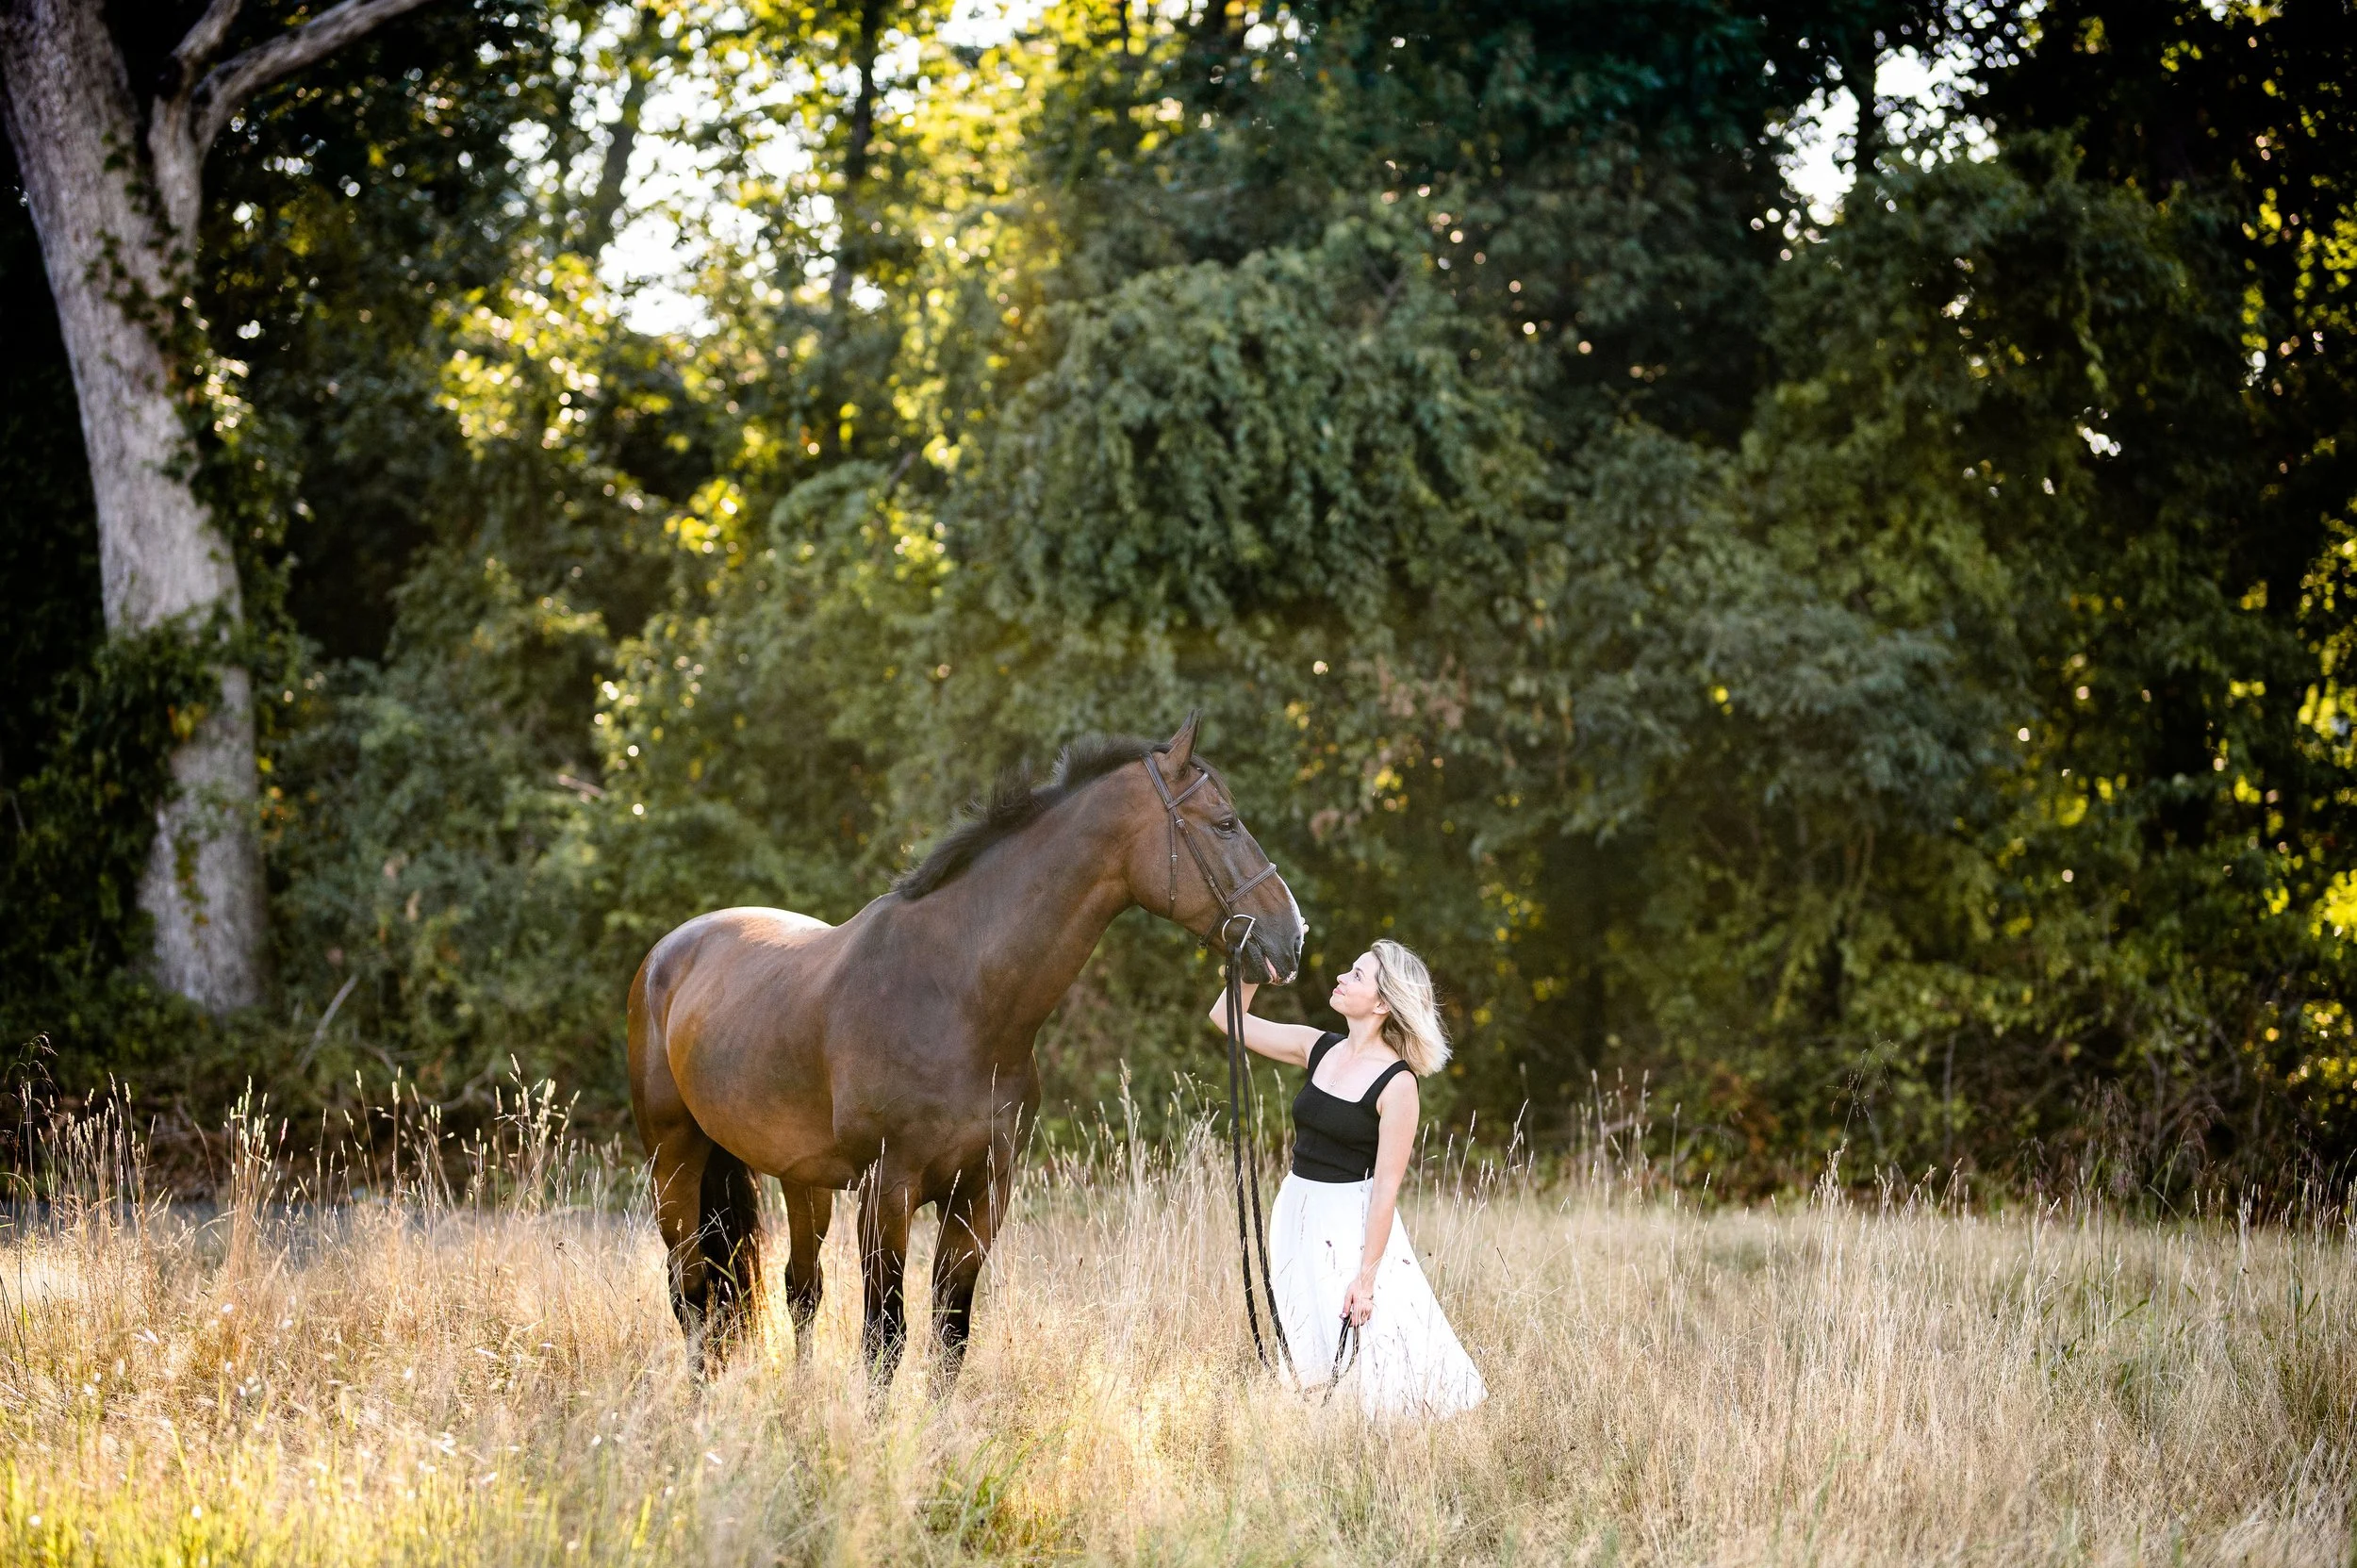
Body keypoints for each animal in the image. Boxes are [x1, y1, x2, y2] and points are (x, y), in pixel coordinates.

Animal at [626, 713, 1307, 1384]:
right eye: (1225, 823)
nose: (1292, 937)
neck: (957, 997)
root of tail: (669, 952)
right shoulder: (886, 1193)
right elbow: (884, 1341)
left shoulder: (981, 1197)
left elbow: (949, 1338)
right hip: (675, 1161)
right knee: (690, 1290)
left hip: (801, 1177)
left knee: (799, 1289)